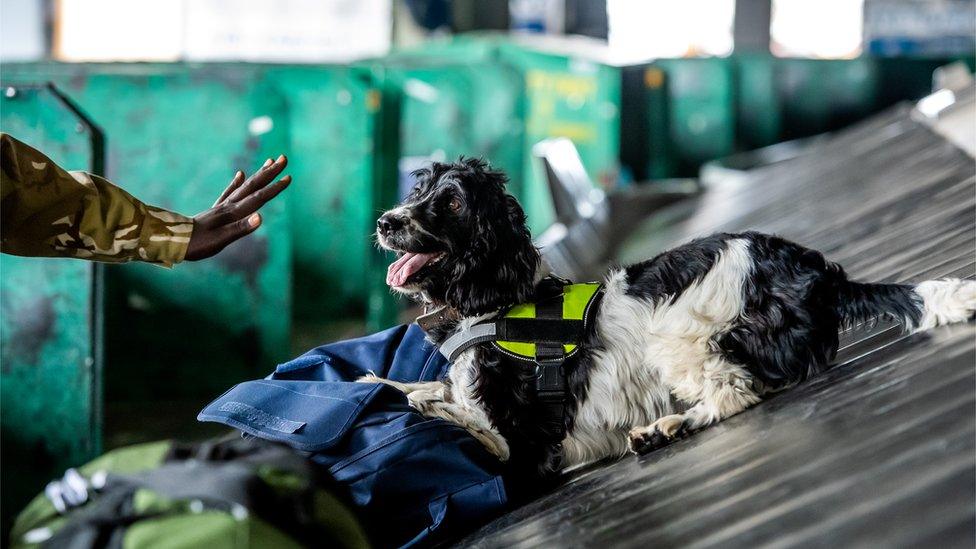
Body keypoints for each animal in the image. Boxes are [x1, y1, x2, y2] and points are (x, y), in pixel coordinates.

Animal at [366, 157, 976, 476]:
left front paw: (401, 394)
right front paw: (395, 383)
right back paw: (665, 427)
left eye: (452, 203)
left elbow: (446, 412)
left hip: (677, 335)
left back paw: (670, 425)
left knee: (737, 392)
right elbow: (430, 389)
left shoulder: (520, 446)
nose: (385, 221)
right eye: (419, 189)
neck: (495, 301)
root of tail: (818, 274)